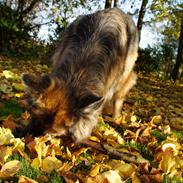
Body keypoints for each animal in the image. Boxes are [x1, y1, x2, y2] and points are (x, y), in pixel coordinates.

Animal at [21, 7, 139, 142]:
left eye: (52, 134)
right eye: (36, 119)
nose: (30, 138)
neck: (77, 74)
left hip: (125, 76)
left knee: (118, 99)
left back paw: (115, 118)